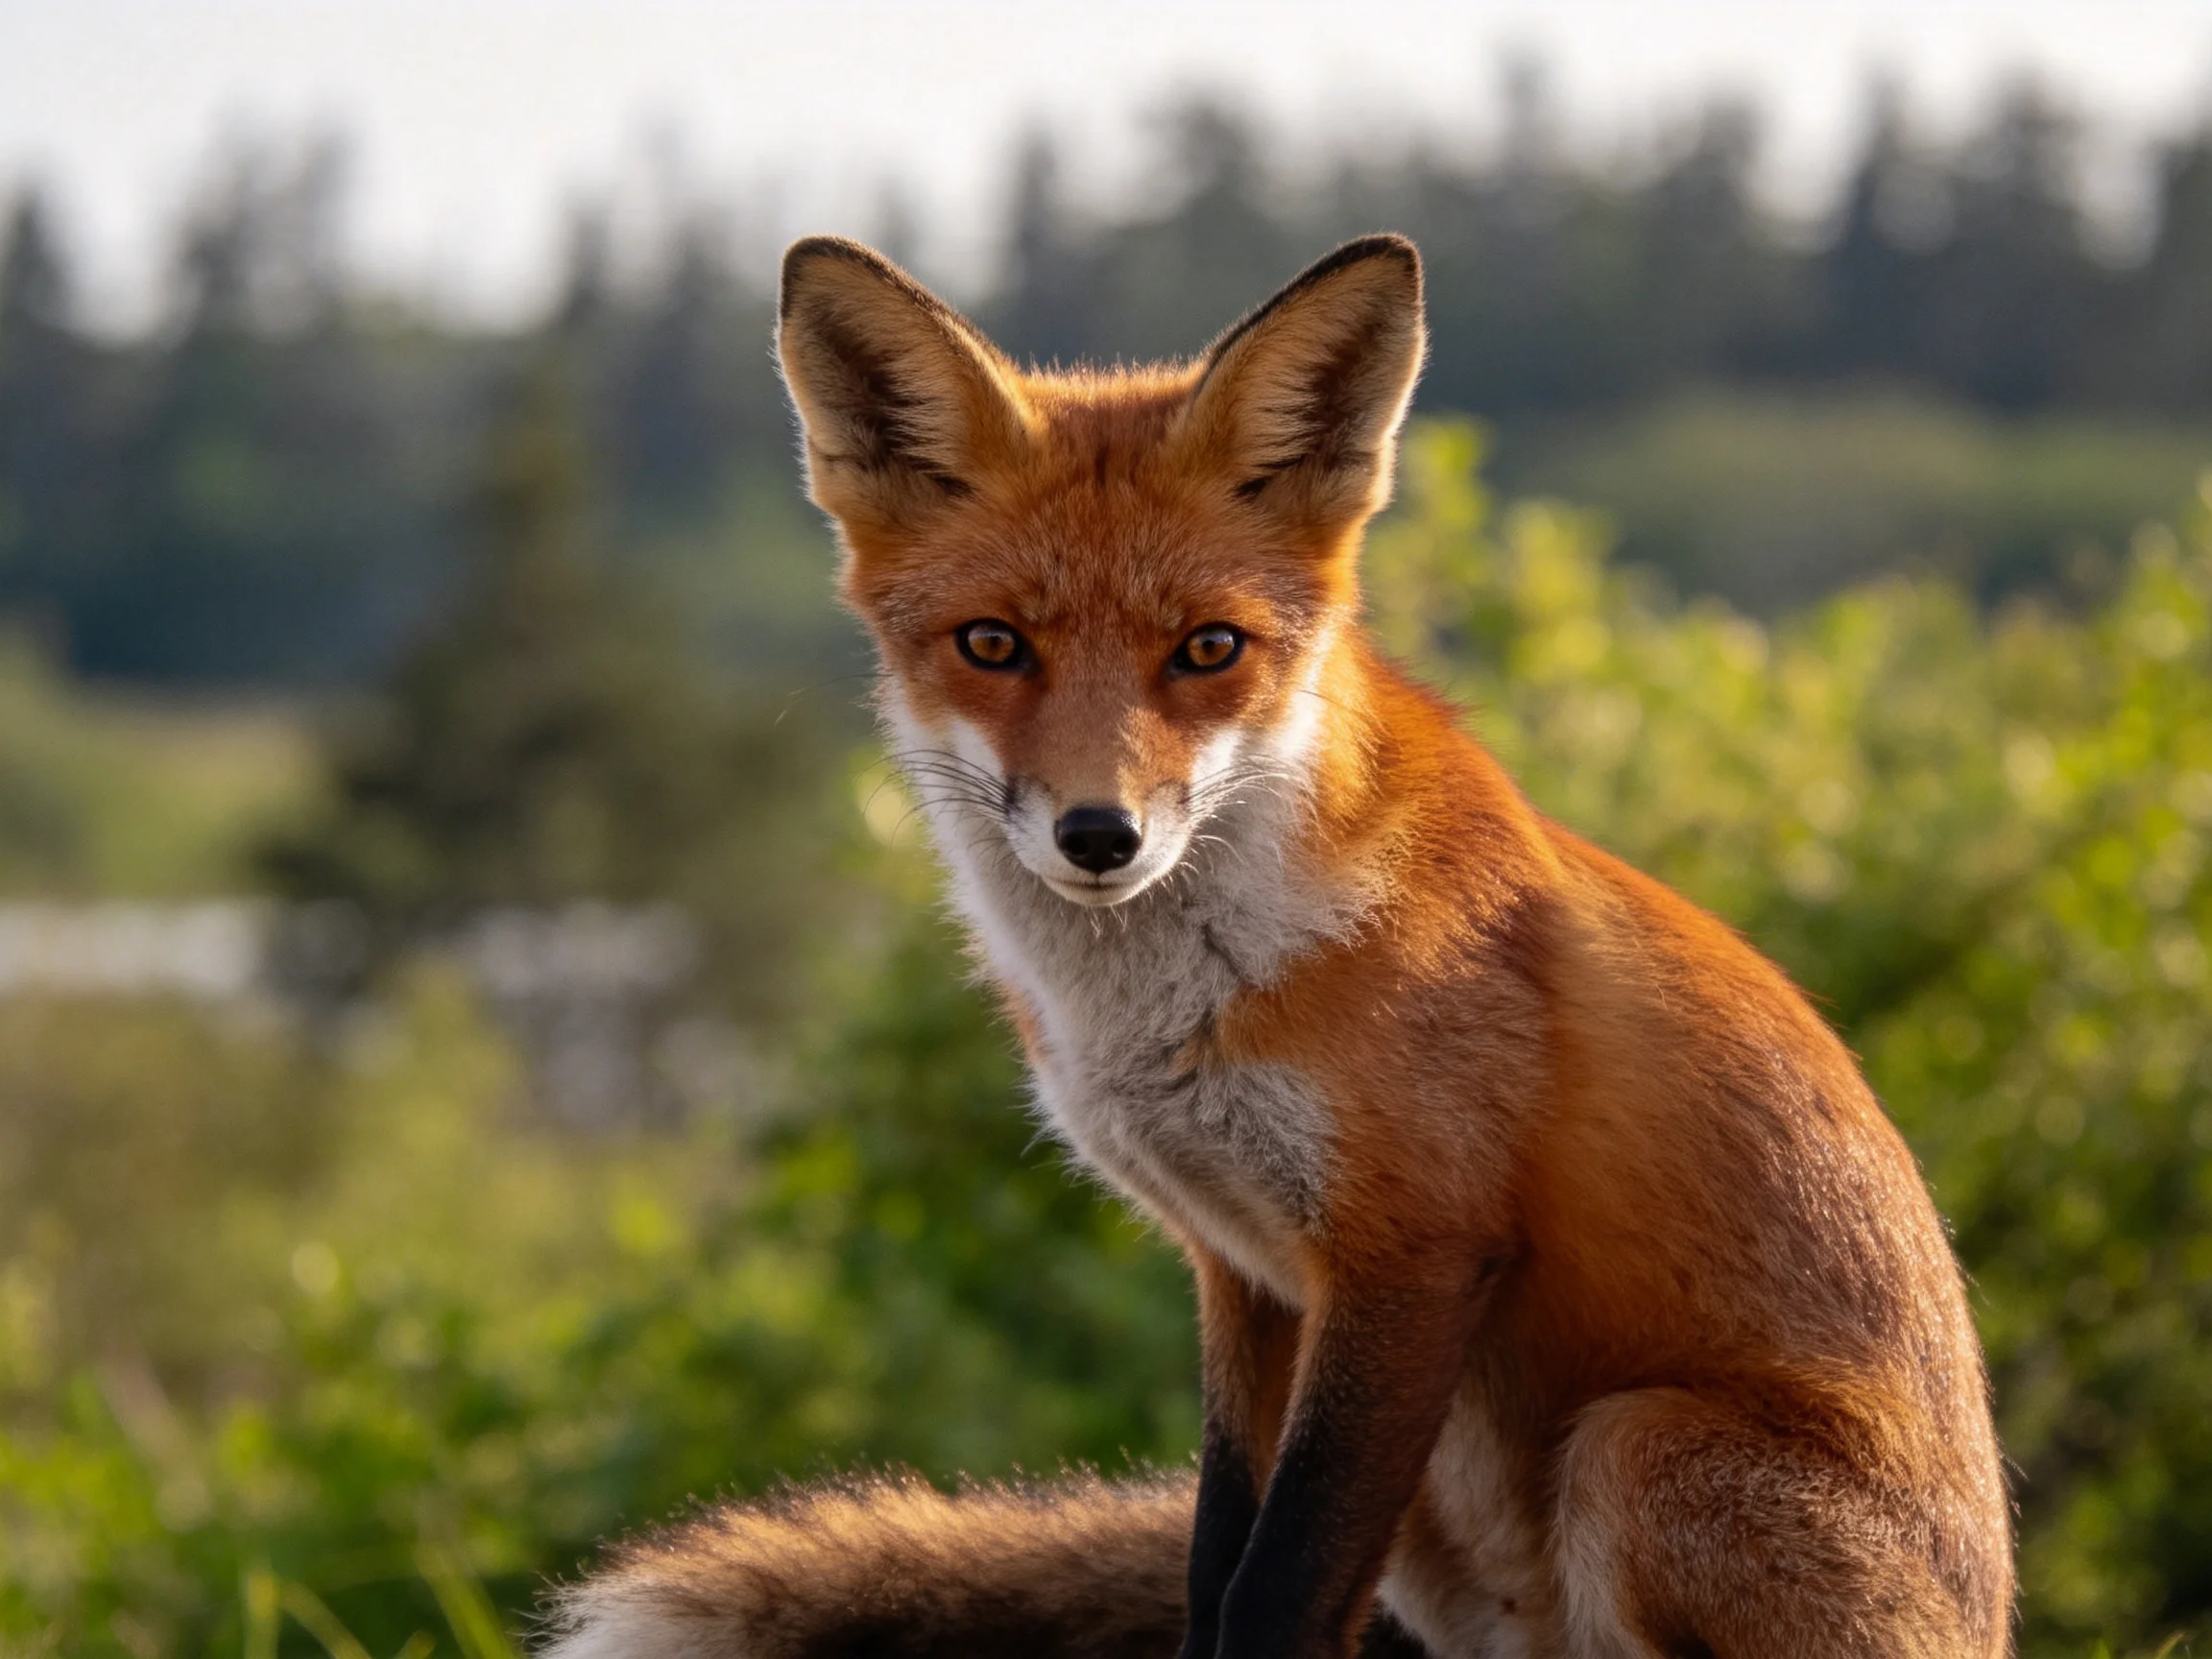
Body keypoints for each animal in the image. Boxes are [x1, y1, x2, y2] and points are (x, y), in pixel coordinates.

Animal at [543, 235, 2013, 1659]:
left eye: (1209, 649)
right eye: (993, 644)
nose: (1099, 834)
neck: (1170, 1018)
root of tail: (1988, 1620)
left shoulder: (1412, 1252)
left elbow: (1280, 1589)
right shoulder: (1246, 1276)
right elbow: (1217, 1565)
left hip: (1635, 1447)